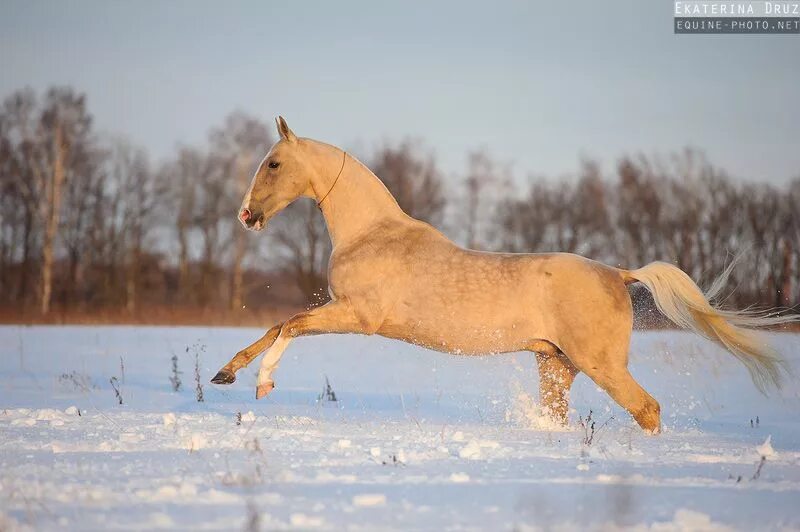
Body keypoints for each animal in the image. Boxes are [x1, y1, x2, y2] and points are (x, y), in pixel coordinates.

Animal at [211, 116, 792, 432]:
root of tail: (619, 273)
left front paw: (263, 384)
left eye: (274, 163)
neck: (372, 233)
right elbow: (276, 326)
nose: (245, 215)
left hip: (600, 365)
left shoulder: (359, 317)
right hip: (556, 365)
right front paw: (226, 375)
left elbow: (289, 325)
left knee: (646, 409)